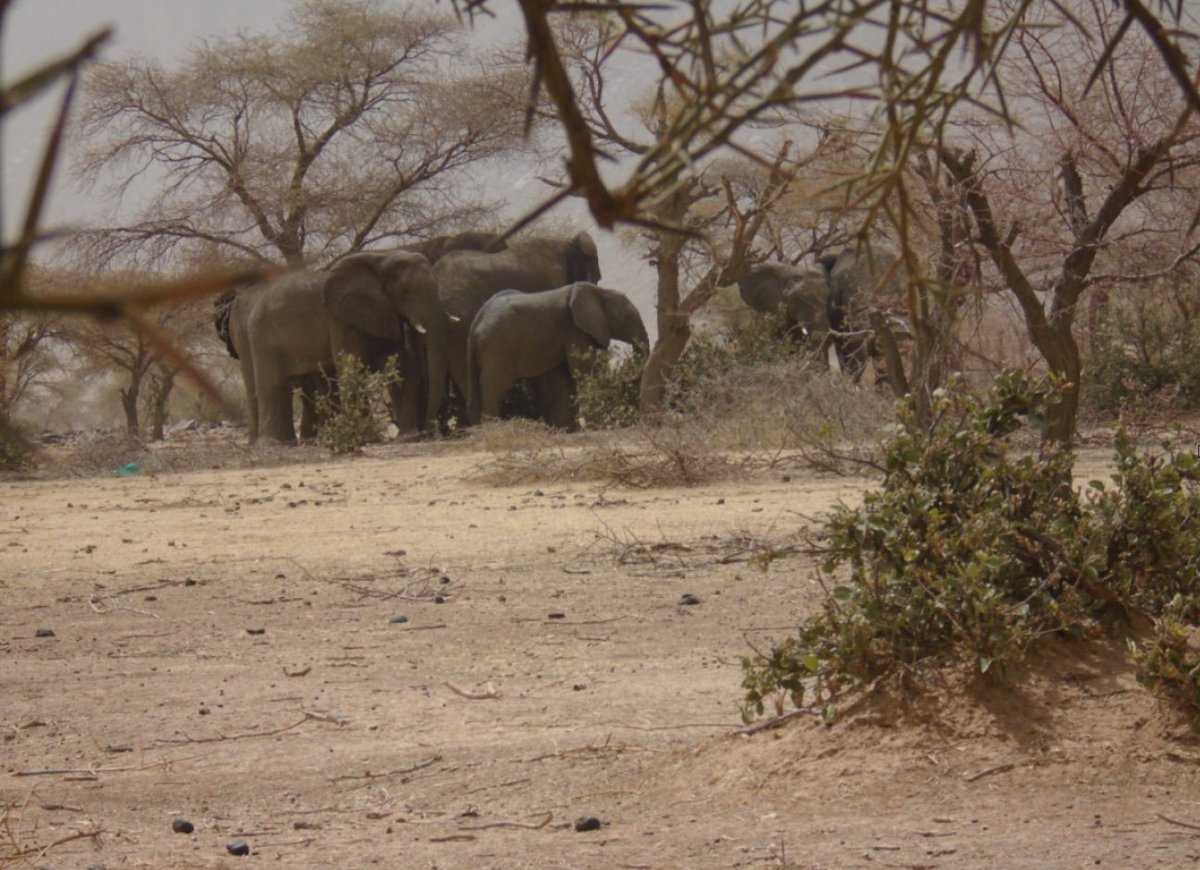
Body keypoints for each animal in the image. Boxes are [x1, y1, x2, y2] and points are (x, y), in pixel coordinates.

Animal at [225, 249, 451, 441]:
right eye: (406, 291)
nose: (429, 433)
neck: (381, 257)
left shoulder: (384, 312)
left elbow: (400, 368)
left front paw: (408, 437)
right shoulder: (339, 318)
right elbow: (353, 365)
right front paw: (369, 438)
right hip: (261, 335)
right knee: (273, 384)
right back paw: (274, 444)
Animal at [463, 283, 648, 429]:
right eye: (626, 318)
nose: (625, 378)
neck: (598, 291)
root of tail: (474, 327)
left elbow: (564, 378)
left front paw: (563, 429)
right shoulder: (574, 330)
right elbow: (583, 373)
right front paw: (596, 426)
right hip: (497, 348)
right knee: (496, 387)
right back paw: (492, 429)